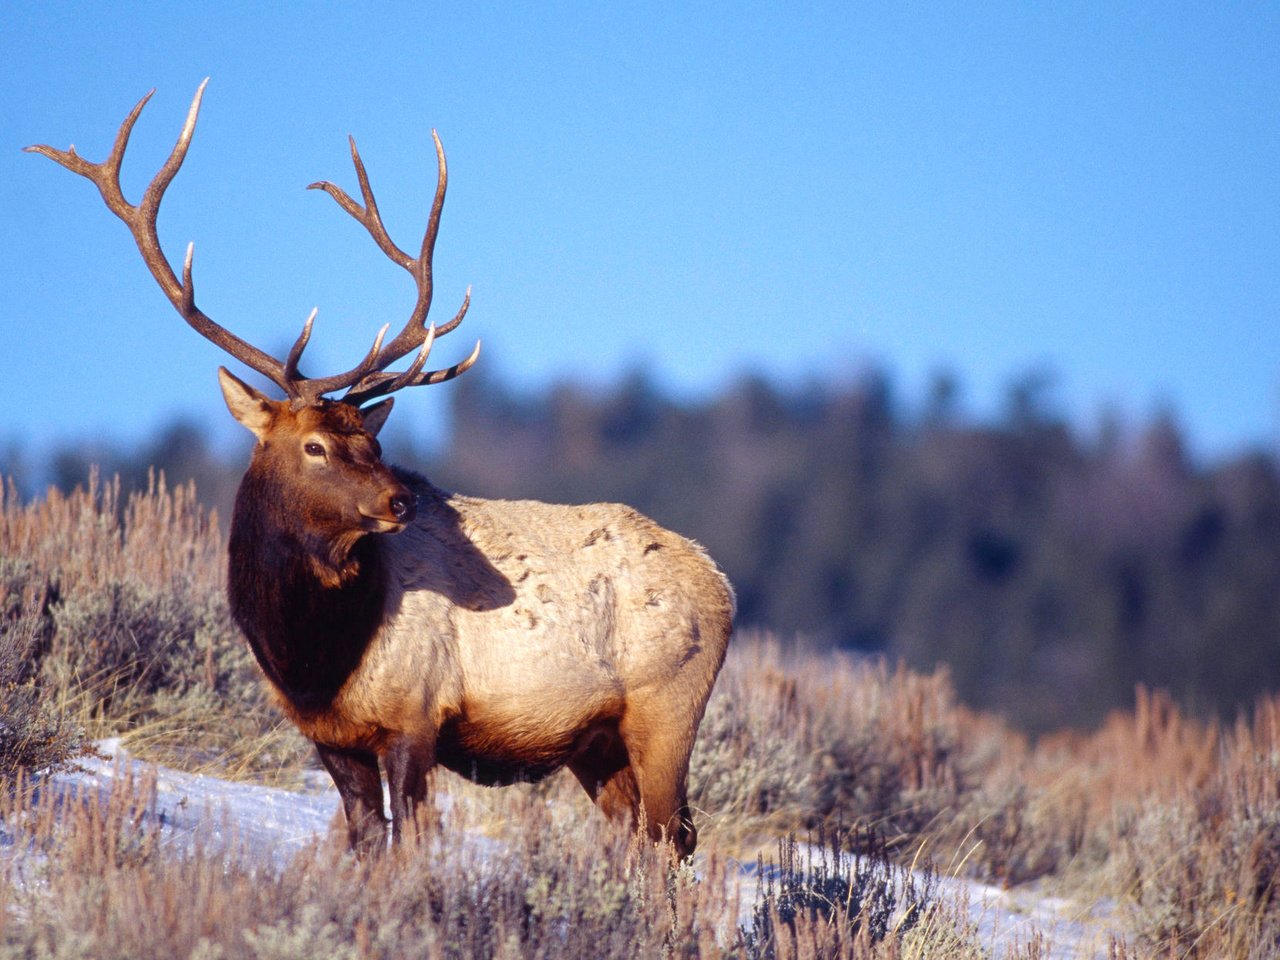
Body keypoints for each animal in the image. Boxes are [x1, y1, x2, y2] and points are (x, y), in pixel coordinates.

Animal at [24, 82, 737, 860]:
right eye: (316, 446)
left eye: (370, 435)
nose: (401, 501)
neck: (312, 656)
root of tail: (723, 583)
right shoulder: (330, 737)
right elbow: (366, 843)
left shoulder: (414, 715)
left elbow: (410, 845)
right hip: (597, 743)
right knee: (643, 841)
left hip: (666, 709)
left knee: (673, 838)